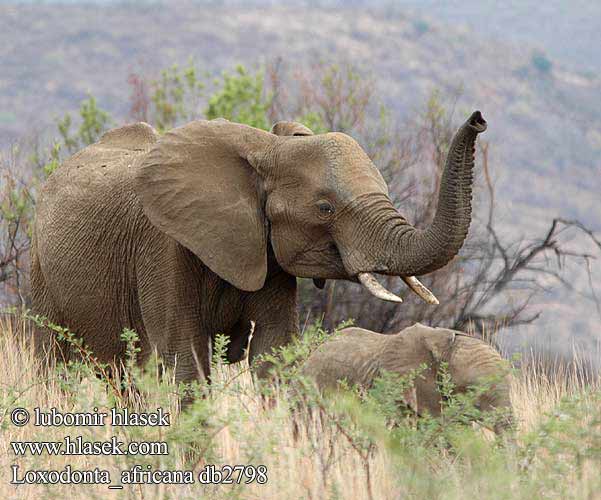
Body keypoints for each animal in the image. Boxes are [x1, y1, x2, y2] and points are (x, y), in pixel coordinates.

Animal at [30, 112, 486, 386]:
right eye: (325, 208)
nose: (479, 119)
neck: (267, 148)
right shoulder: (163, 246)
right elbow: (184, 356)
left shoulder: (269, 255)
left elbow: (273, 351)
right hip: (40, 271)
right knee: (54, 363)